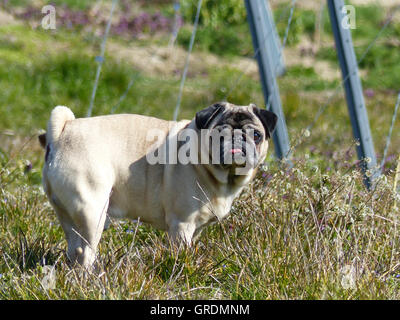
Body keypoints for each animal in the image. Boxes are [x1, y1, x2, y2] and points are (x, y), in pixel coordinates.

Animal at [39, 103, 276, 268]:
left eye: (256, 135)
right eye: (219, 133)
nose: (237, 140)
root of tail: (63, 131)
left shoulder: (195, 228)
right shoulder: (182, 224)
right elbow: (181, 252)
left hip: (68, 214)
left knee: (73, 248)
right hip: (92, 212)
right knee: (85, 250)